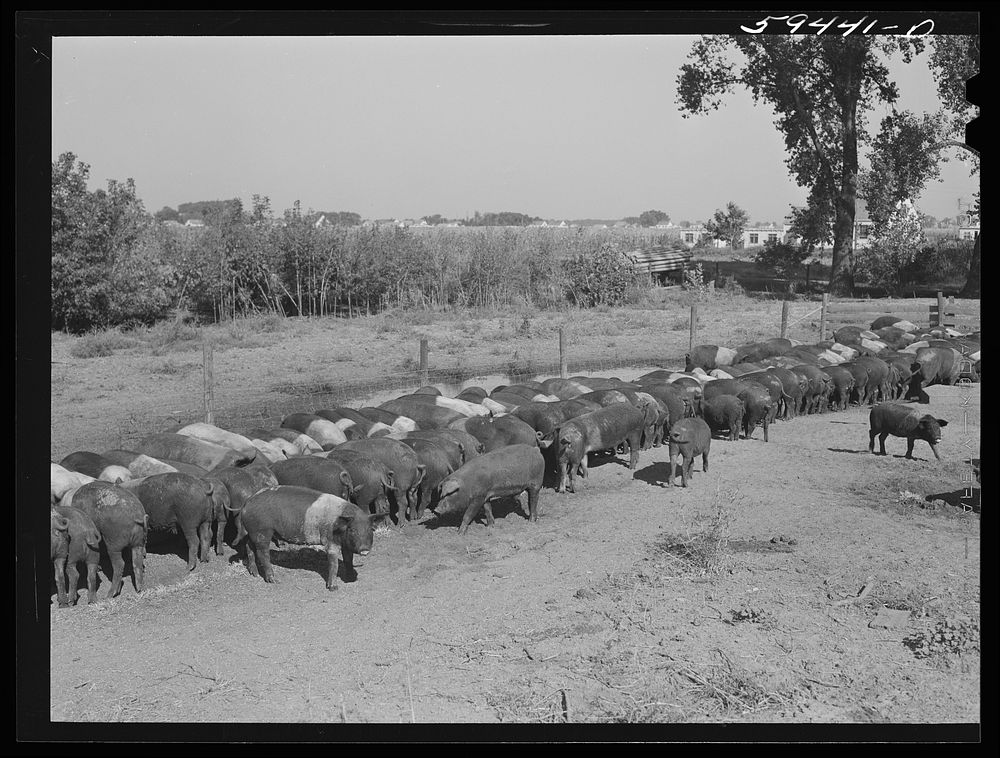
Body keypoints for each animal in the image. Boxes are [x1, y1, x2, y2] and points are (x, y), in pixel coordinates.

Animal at [239, 486, 378, 592]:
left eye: (370, 530)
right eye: (352, 530)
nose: (365, 550)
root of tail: (246, 504)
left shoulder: (346, 545)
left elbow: (349, 560)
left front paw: (350, 579)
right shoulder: (329, 540)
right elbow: (334, 564)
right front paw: (333, 588)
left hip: (253, 533)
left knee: (248, 546)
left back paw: (255, 574)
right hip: (262, 531)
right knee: (263, 553)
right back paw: (275, 580)